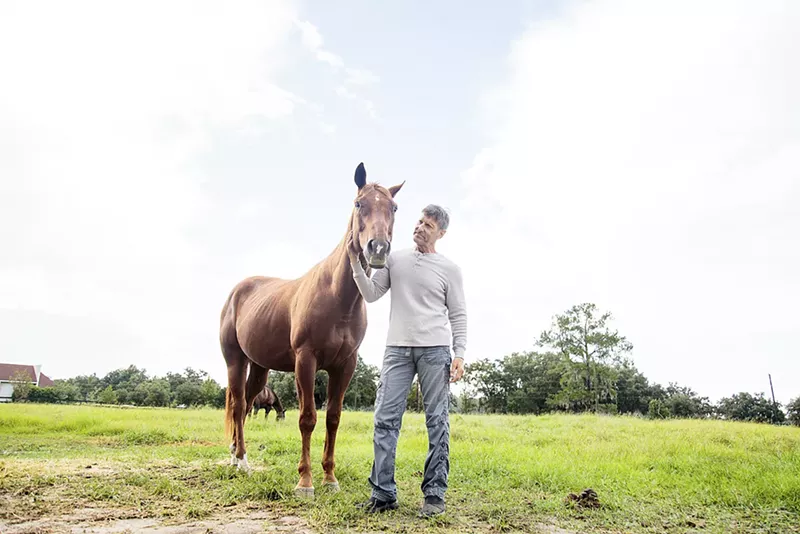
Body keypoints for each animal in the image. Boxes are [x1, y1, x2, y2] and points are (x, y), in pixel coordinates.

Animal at [219, 162, 404, 497]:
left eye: (393, 207)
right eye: (359, 204)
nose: (378, 248)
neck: (336, 297)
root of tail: (237, 292)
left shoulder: (345, 365)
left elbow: (333, 418)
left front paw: (330, 478)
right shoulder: (306, 361)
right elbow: (307, 418)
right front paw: (305, 482)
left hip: (260, 368)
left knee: (247, 404)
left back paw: (235, 453)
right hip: (235, 361)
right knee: (238, 406)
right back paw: (241, 461)